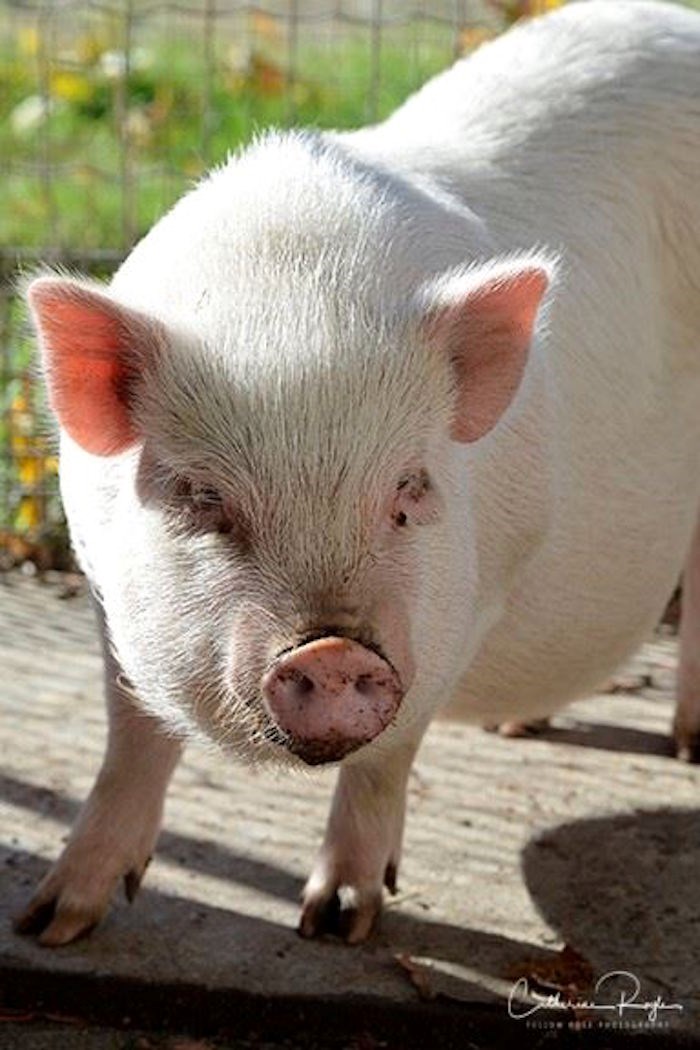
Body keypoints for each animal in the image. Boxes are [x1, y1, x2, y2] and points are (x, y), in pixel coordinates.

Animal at [13, 0, 700, 949]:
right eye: (201, 497)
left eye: (410, 489)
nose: (334, 651)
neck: (293, 297)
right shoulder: (105, 581)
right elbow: (131, 734)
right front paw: (51, 924)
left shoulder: (472, 596)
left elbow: (388, 756)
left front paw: (336, 924)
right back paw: (522, 725)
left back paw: (688, 746)